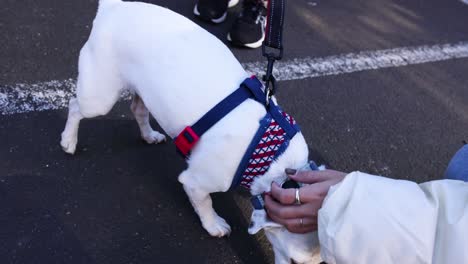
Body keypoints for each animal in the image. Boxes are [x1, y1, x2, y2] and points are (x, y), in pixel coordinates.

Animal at [60, 1, 320, 262]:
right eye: (295, 260)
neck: (272, 155)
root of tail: (113, 8)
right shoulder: (196, 182)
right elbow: (205, 204)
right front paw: (214, 225)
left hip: (143, 90)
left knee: (138, 109)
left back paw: (149, 135)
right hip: (99, 98)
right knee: (75, 106)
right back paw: (68, 141)